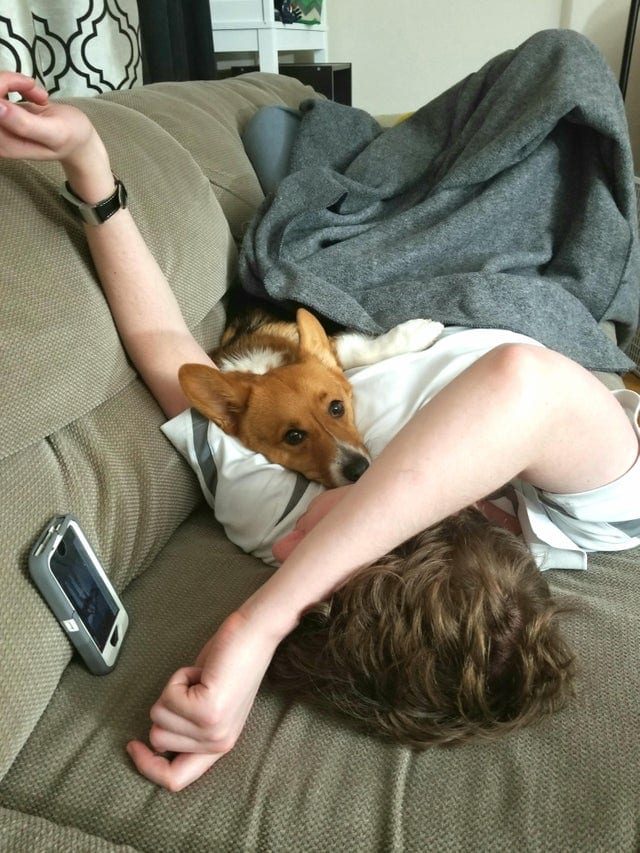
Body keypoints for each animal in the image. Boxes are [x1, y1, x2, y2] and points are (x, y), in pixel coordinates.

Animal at [178, 308, 443, 487]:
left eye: (336, 408)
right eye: (293, 436)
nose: (360, 470)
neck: (263, 368)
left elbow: (357, 351)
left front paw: (418, 333)